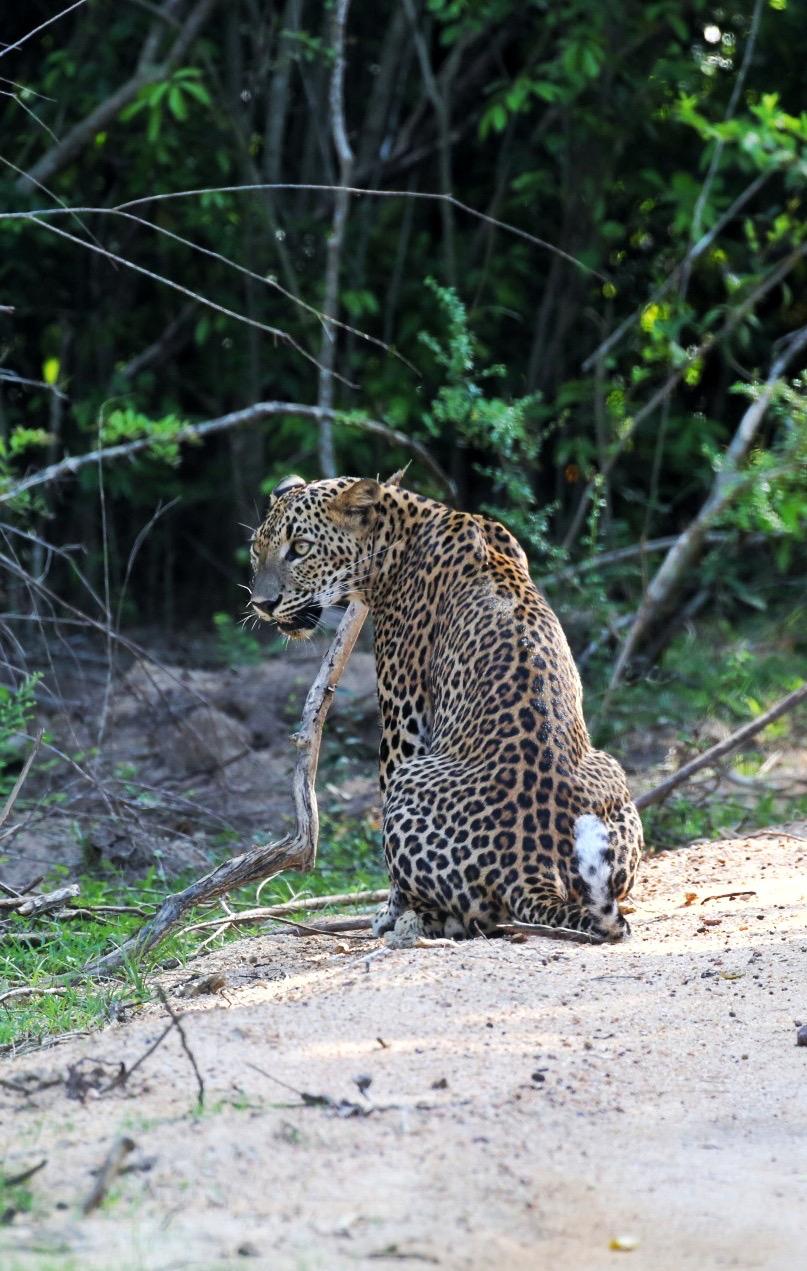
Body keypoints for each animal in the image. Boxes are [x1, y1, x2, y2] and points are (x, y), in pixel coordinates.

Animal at [249, 472, 644, 944]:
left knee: (470, 914)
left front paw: (388, 913)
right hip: (611, 771)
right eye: (256, 548)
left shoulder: (404, 714)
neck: (399, 529)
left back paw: (413, 920)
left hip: (411, 780)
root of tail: (534, 873)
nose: (262, 605)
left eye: (301, 548)